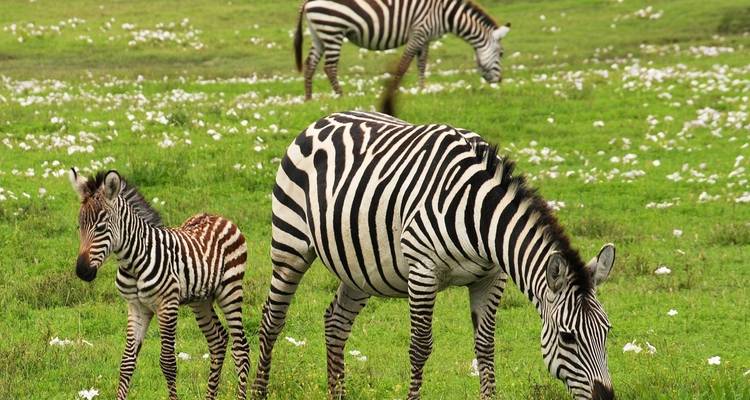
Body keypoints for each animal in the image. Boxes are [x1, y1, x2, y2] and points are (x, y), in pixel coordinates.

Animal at [69, 169, 250, 400]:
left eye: (100, 227)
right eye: (79, 226)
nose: (82, 272)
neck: (133, 263)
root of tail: (219, 216)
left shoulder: (167, 305)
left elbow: (168, 363)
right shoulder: (136, 307)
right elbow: (127, 362)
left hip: (230, 290)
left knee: (241, 349)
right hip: (200, 300)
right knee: (218, 341)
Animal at [252, 112, 616, 400]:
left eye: (607, 331)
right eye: (568, 337)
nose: (605, 399)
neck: (479, 215)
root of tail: (321, 120)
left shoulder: (491, 278)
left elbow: (485, 348)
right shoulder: (423, 270)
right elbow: (420, 347)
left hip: (358, 266)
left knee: (335, 322)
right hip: (290, 243)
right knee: (272, 319)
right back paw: (256, 391)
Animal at [294, 0, 511, 100]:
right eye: (501, 54)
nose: (499, 81)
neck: (444, 13)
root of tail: (308, 1)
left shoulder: (425, 38)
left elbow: (422, 64)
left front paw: (422, 89)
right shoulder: (419, 31)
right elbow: (404, 64)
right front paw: (396, 89)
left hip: (319, 33)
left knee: (310, 63)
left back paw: (308, 98)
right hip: (333, 29)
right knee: (329, 67)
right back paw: (341, 95)